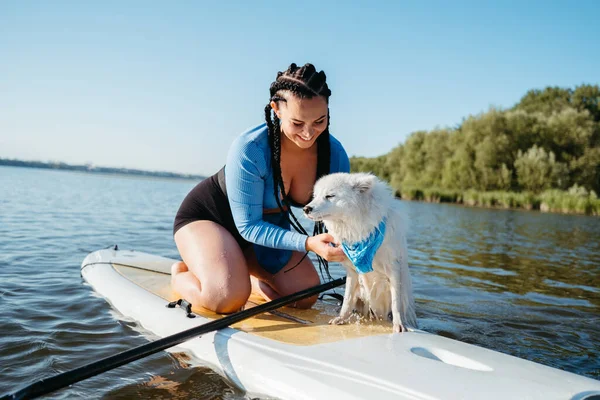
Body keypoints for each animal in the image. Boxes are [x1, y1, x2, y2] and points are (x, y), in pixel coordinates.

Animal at [304, 173, 418, 332]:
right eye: (315, 196)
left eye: (330, 196)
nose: (306, 208)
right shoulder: (352, 271)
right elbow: (347, 300)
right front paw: (341, 319)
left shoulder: (394, 268)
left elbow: (396, 303)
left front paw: (399, 325)